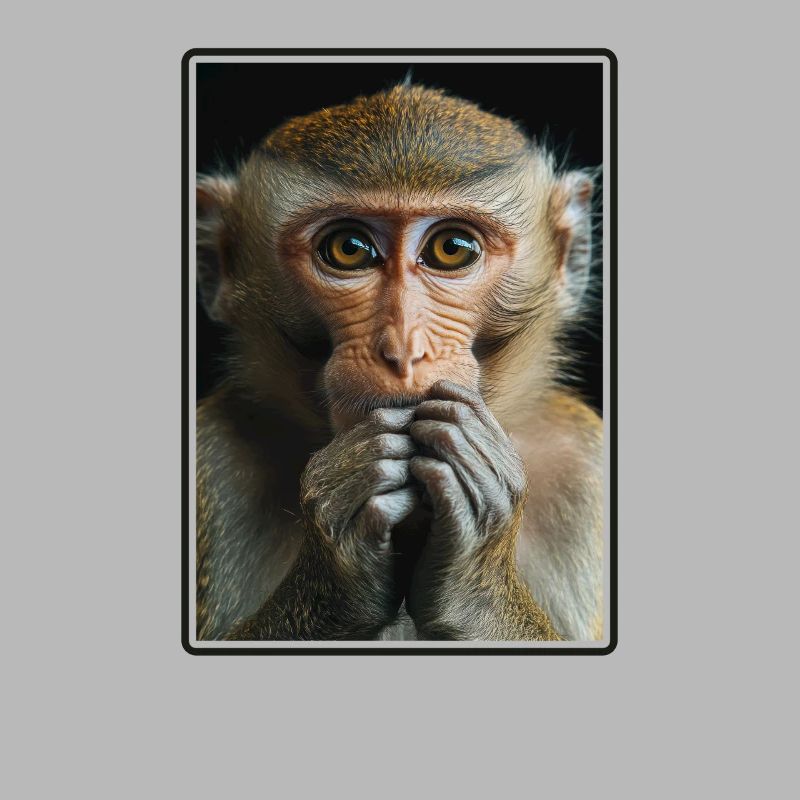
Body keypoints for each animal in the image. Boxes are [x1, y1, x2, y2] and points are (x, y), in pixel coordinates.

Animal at [195, 83, 603, 642]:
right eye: (349, 249)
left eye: (452, 248)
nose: (403, 349)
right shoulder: (214, 453)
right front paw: (339, 559)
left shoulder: (585, 465)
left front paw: (475, 580)